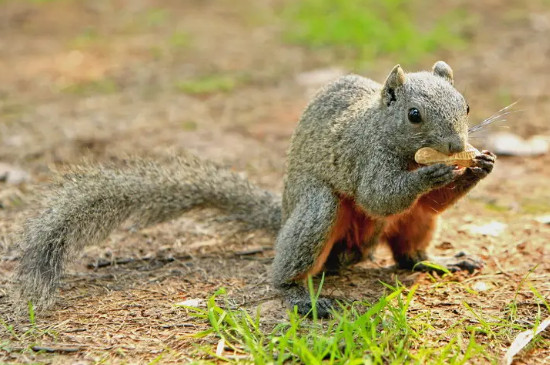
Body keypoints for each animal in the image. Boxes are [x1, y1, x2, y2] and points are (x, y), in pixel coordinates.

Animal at [12, 60, 498, 316]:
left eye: (466, 105)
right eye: (414, 115)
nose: (457, 147)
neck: (383, 128)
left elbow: (431, 201)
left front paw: (480, 166)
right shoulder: (363, 155)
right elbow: (379, 194)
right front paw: (432, 174)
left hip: (414, 223)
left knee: (408, 250)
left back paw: (438, 263)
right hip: (317, 210)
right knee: (293, 263)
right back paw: (301, 296)